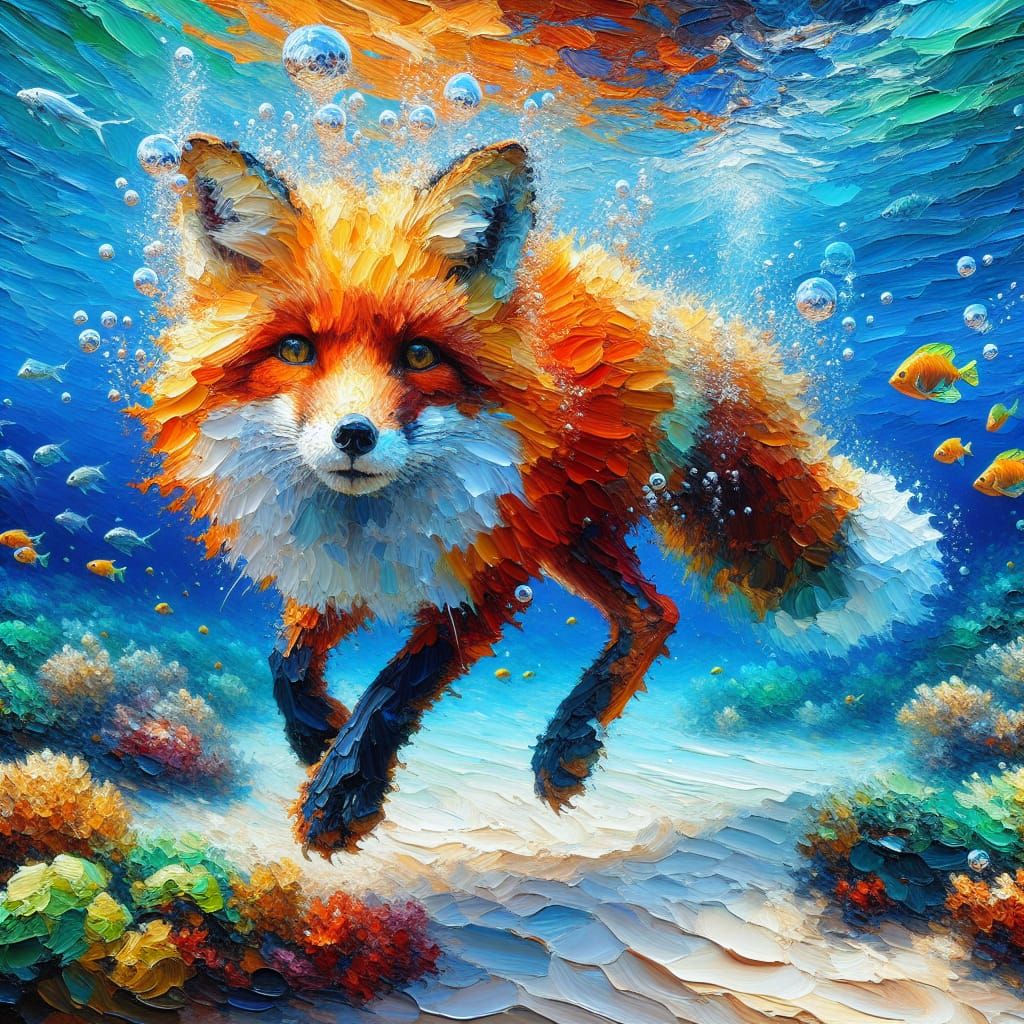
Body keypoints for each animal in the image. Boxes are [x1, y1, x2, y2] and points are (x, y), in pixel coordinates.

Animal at [138, 134, 942, 856]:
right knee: (652, 611)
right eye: (296, 349)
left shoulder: (486, 574)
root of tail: (662, 308)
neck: (369, 521)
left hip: (560, 523)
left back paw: (568, 739)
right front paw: (316, 738)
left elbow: (393, 692)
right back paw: (573, 739)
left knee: (655, 610)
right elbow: (287, 664)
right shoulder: (346, 570)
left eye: (419, 354)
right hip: (569, 537)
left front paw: (342, 791)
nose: (355, 436)